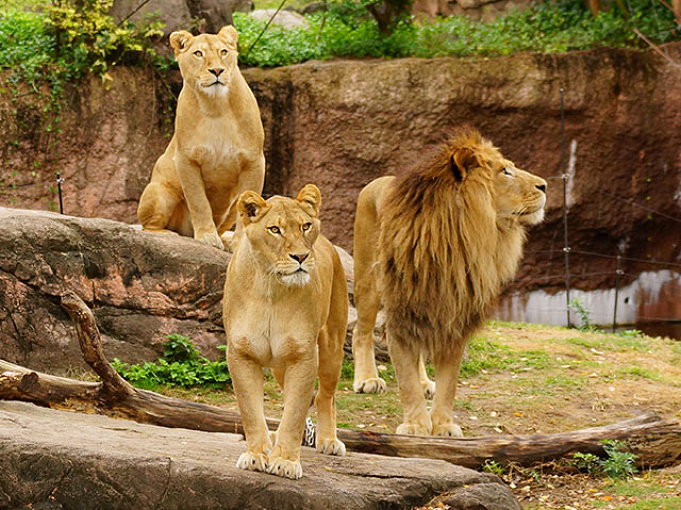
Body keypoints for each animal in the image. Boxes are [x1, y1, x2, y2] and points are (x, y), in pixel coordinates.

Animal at [137, 26, 264, 251]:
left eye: (224, 52)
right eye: (198, 53)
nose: (217, 71)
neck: (216, 106)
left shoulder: (254, 161)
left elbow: (247, 209)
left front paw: (239, 243)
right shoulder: (186, 159)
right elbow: (198, 201)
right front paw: (206, 237)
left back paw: (225, 239)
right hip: (160, 191)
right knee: (148, 226)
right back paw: (169, 235)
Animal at [224, 185, 348, 480]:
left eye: (305, 226)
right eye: (274, 230)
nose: (301, 257)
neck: (271, 288)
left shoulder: (303, 356)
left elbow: (295, 413)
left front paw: (285, 461)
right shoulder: (241, 353)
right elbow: (250, 410)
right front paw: (256, 454)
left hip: (331, 349)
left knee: (325, 396)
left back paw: (329, 440)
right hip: (280, 366)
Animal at [350, 126, 548, 434]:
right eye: (505, 171)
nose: (545, 186)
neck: (458, 240)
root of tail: (377, 181)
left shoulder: (454, 316)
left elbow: (449, 382)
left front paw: (442, 425)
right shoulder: (401, 311)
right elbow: (405, 380)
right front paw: (416, 426)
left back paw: (424, 382)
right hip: (368, 282)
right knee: (361, 331)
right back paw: (367, 379)